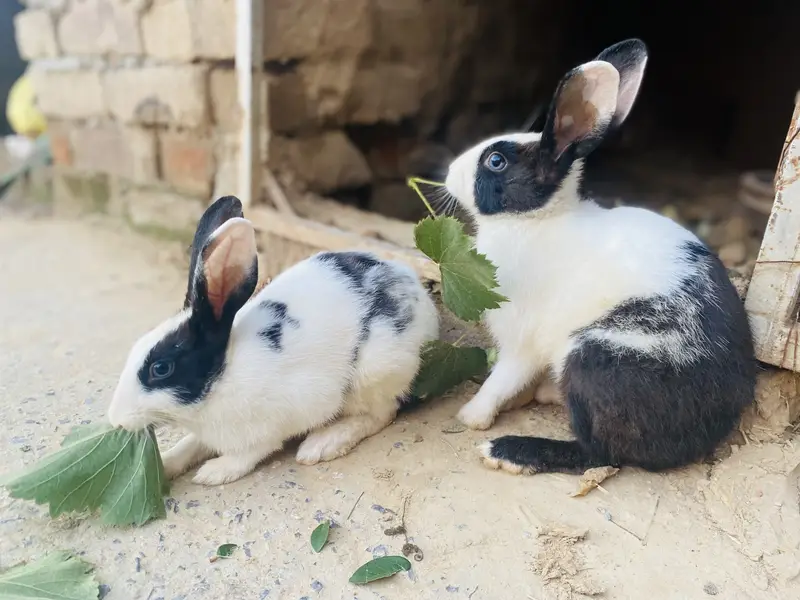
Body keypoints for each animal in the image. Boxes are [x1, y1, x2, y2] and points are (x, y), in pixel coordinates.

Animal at [108, 195, 439, 486]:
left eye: (161, 368)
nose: (116, 420)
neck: (221, 379)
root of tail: (419, 295)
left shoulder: (273, 424)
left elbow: (251, 453)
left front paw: (214, 472)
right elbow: (189, 446)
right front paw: (166, 464)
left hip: (375, 371)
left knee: (382, 413)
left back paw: (321, 444)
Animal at [443, 39, 756, 475]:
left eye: (496, 161)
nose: (449, 172)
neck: (538, 219)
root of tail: (713, 425)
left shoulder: (522, 339)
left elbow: (502, 378)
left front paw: (471, 416)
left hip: (593, 356)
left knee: (598, 453)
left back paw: (506, 450)